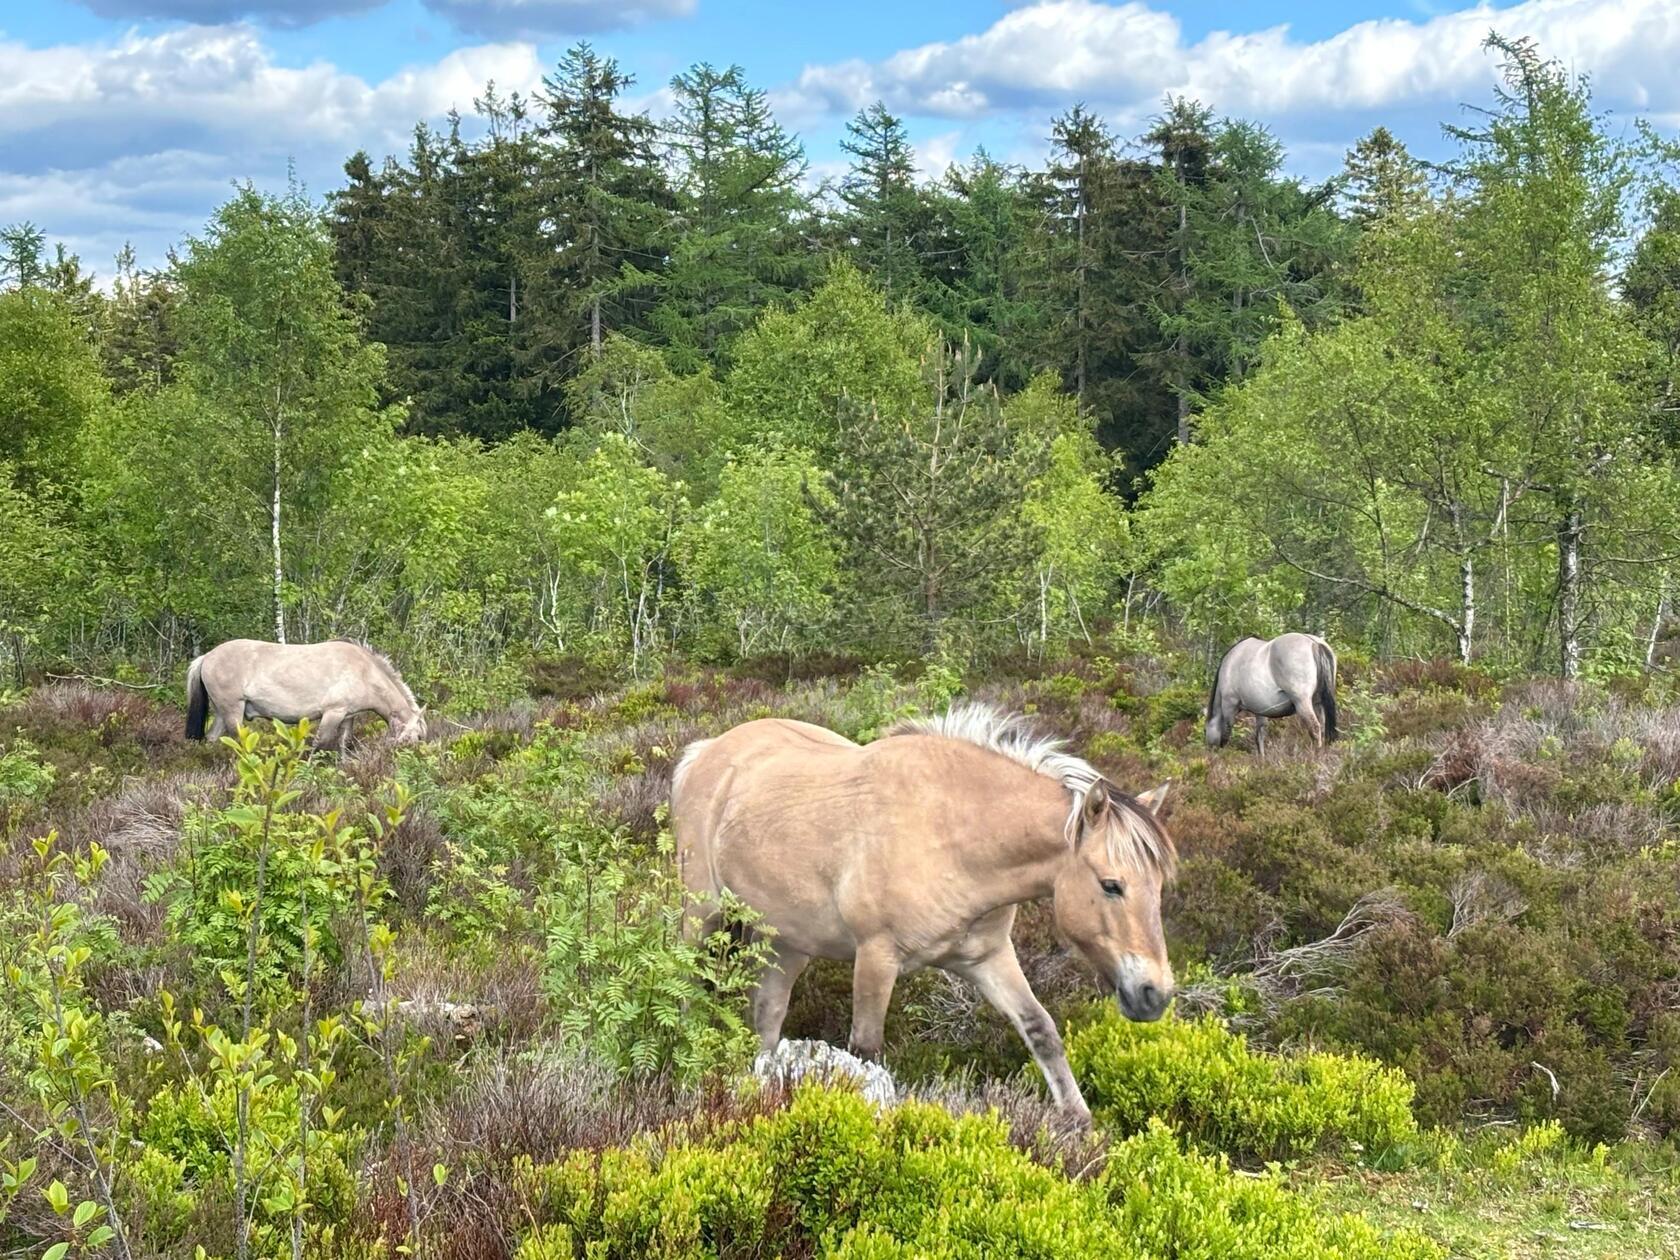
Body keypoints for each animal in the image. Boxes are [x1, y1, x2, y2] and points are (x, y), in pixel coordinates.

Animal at [185, 639, 426, 749]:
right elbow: (319, 743)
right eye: (416, 737)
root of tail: (207, 656)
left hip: (222, 712)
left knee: (212, 738)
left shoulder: (348, 716)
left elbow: (343, 743)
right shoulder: (333, 713)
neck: (363, 670)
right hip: (232, 711)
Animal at [671, 702, 1176, 1126]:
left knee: (768, 1016)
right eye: (1111, 885)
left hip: (785, 941)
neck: (952, 837)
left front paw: (1080, 1126)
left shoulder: (987, 958)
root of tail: (706, 751)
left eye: (1159, 887)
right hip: (703, 914)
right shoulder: (876, 957)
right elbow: (866, 1052)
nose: (1154, 994)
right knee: (689, 990)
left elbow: (1041, 1030)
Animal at [1205, 632, 1338, 755]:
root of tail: (1314, 643)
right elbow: (1260, 737)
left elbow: (1226, 734)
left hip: (1302, 702)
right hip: (1317, 703)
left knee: (1315, 728)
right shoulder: (1260, 710)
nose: (1210, 752)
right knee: (1322, 728)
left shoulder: (1229, 704)